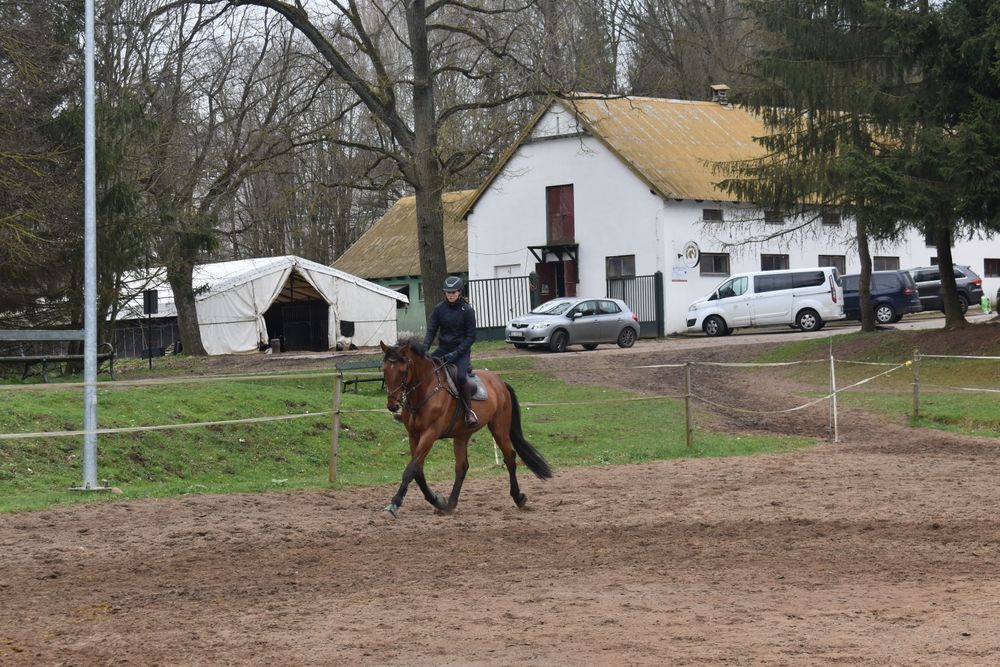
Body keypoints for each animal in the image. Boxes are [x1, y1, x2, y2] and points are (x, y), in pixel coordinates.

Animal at [380, 340, 556, 516]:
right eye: (384, 370)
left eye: (403, 371)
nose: (392, 405)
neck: (425, 392)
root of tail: (500, 382)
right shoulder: (413, 435)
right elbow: (418, 471)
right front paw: (438, 500)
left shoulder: (430, 434)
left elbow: (411, 469)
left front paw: (394, 503)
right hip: (462, 435)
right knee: (462, 466)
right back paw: (450, 504)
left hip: (499, 429)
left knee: (510, 458)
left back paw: (518, 497)